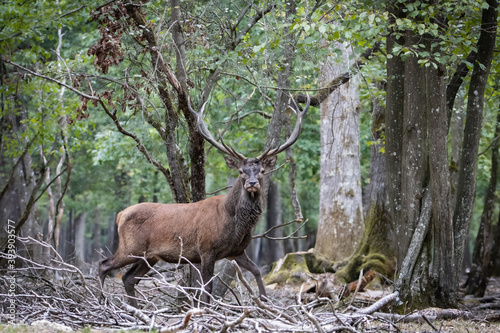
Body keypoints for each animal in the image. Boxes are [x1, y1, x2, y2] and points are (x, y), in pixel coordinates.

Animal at [97, 93, 308, 306]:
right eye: (241, 171)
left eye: (262, 171)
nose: (252, 183)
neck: (234, 222)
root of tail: (120, 214)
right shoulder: (207, 249)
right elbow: (207, 286)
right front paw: (205, 308)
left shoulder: (236, 251)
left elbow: (257, 270)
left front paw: (264, 300)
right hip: (130, 247)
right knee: (104, 264)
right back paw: (100, 300)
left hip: (150, 256)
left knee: (128, 277)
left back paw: (132, 307)